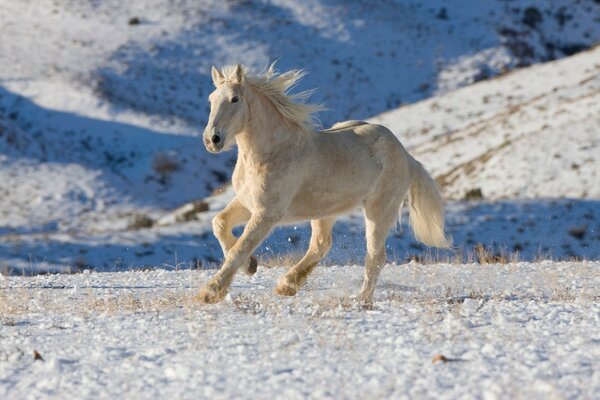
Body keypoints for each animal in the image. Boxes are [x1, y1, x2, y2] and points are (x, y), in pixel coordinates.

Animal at [197, 64, 450, 304]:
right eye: (211, 98)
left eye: (235, 99)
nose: (212, 140)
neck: (274, 152)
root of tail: (406, 154)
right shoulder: (246, 202)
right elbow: (219, 224)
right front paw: (250, 266)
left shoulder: (267, 213)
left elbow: (241, 247)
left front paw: (210, 292)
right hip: (325, 210)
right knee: (321, 244)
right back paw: (287, 285)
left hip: (379, 209)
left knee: (375, 256)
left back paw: (361, 300)